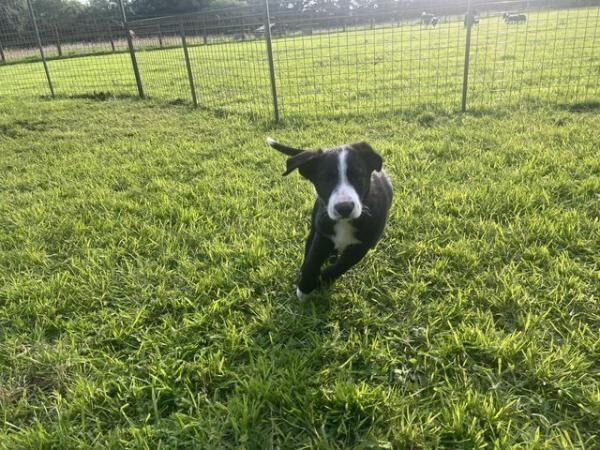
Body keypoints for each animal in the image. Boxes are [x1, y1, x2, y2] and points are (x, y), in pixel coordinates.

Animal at [264, 137, 392, 298]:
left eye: (358, 176)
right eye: (325, 178)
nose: (344, 208)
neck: (345, 222)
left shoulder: (362, 246)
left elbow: (340, 266)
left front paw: (321, 282)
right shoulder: (323, 235)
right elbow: (312, 260)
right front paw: (304, 286)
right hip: (315, 222)